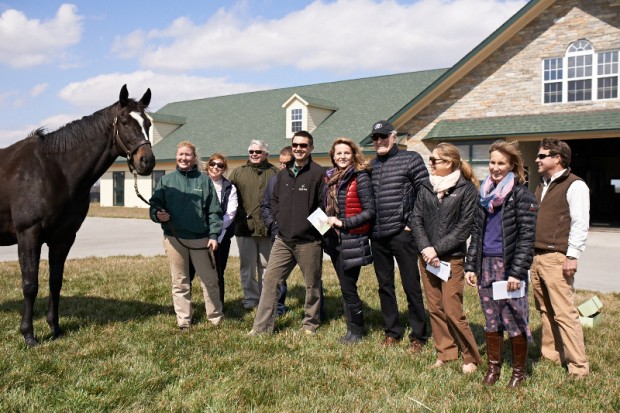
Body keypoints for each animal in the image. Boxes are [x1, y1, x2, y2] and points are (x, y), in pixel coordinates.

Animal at [0, 83, 155, 344]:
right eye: (124, 122)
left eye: (148, 123)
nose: (147, 161)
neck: (53, 169)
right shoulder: (28, 235)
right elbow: (30, 284)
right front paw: (29, 335)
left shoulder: (63, 237)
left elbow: (55, 281)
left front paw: (55, 327)